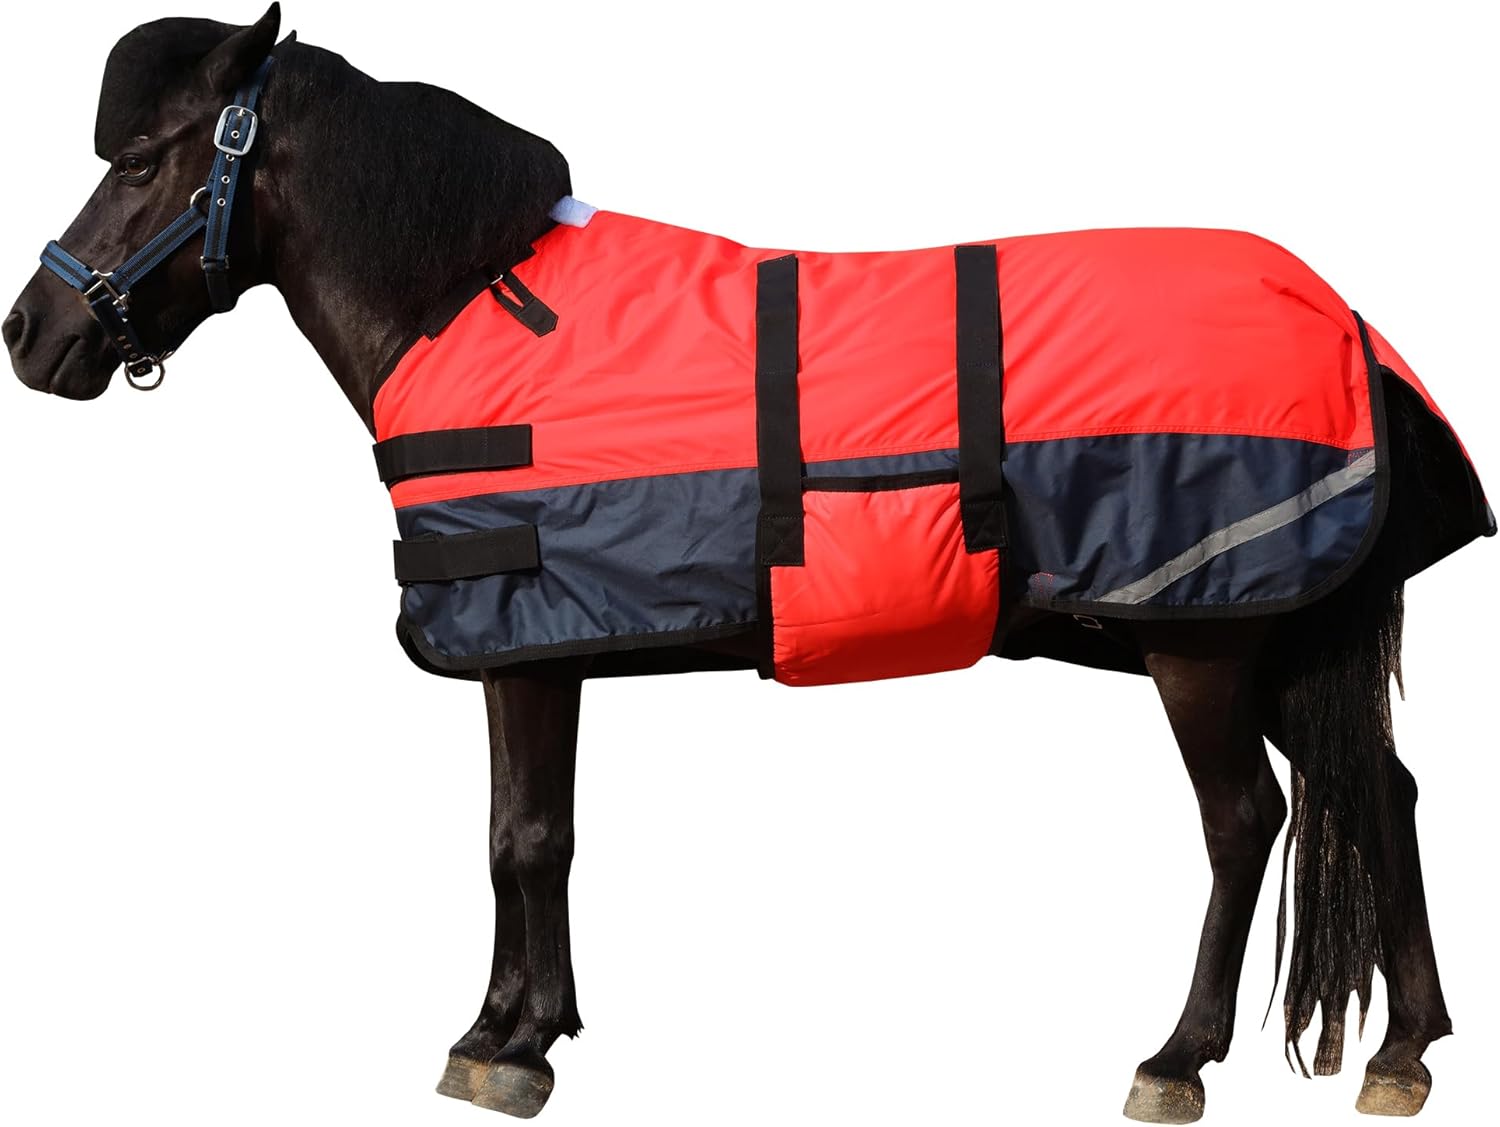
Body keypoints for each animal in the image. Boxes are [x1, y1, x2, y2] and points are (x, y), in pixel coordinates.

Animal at [5, 5, 1492, 1121]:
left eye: (141, 160)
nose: (33, 335)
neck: (466, 297)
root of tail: (1352, 330)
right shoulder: (535, 645)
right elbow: (519, 834)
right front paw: (518, 1019)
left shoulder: (525, 641)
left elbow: (525, 837)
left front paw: (510, 1047)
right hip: (1274, 637)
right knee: (1387, 793)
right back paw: (1405, 1049)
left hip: (1201, 642)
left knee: (1245, 821)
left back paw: (1175, 1056)